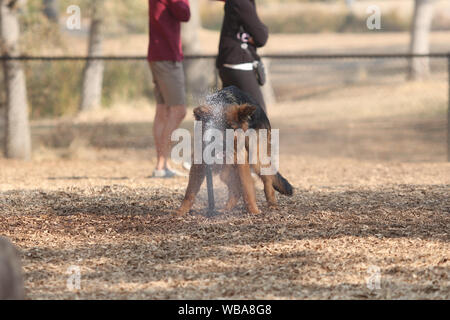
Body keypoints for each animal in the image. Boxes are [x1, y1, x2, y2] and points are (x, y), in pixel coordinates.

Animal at [176, 85, 292, 215]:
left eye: (231, 128)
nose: (221, 145)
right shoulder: (199, 162)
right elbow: (190, 191)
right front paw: (181, 211)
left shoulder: (241, 160)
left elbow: (247, 188)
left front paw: (253, 211)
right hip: (226, 170)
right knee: (236, 188)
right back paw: (227, 208)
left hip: (256, 159)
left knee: (267, 182)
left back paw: (272, 204)